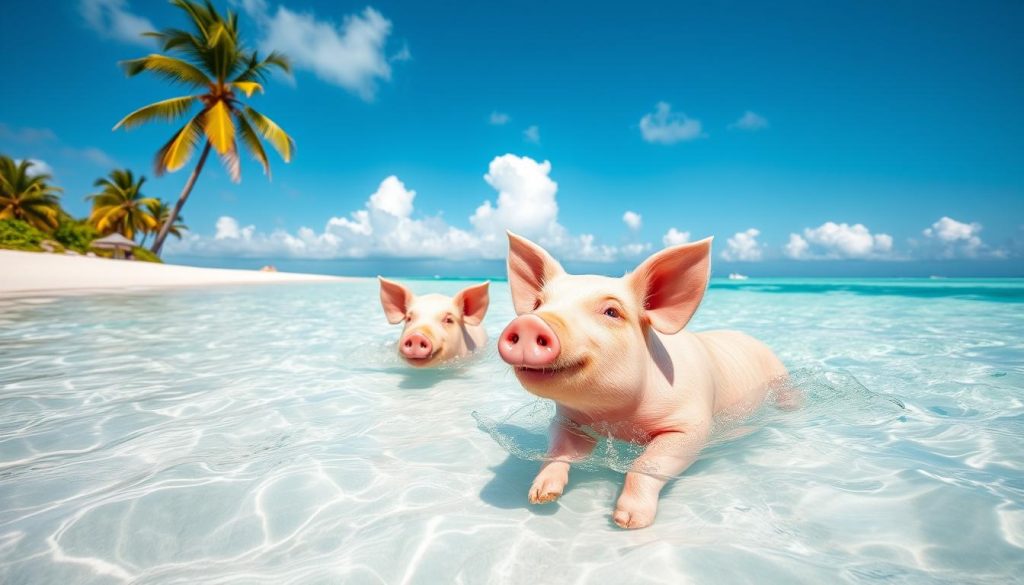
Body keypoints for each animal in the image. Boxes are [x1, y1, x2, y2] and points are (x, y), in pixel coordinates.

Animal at [497, 232, 787, 529]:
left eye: (611, 312)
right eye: (538, 305)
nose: (530, 323)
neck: (617, 416)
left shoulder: (692, 425)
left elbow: (646, 465)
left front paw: (627, 522)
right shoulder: (566, 419)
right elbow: (559, 450)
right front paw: (540, 497)